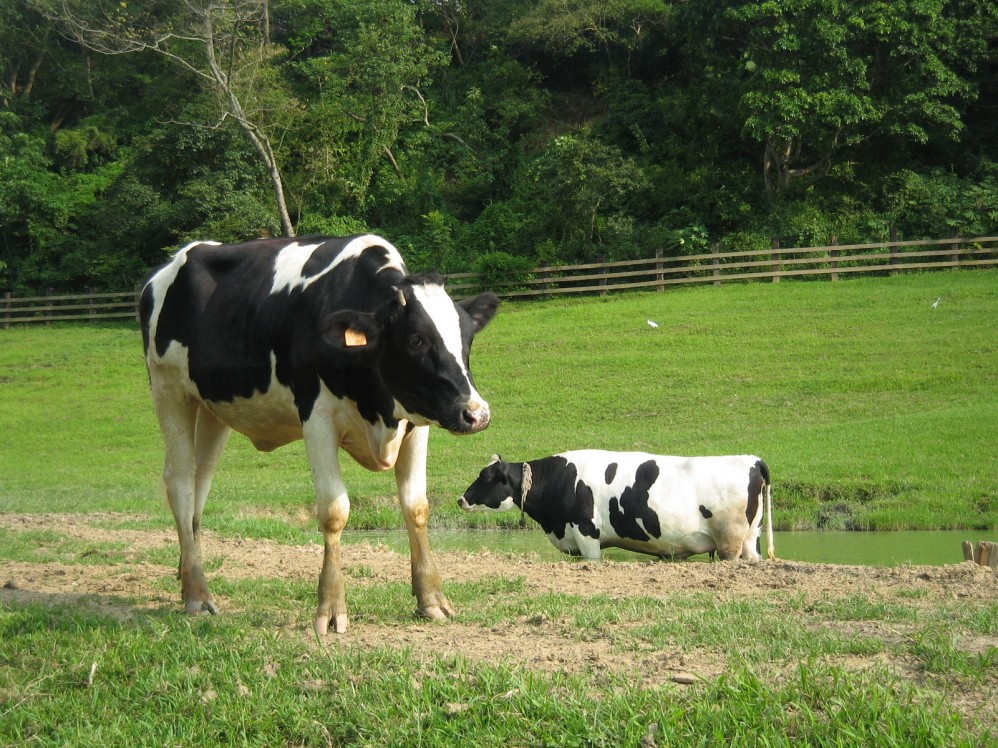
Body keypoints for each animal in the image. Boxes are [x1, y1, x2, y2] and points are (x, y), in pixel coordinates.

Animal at [141, 234, 500, 632]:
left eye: (467, 338)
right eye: (416, 340)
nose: (476, 413)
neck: (378, 410)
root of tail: (178, 258)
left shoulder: (417, 419)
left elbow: (416, 506)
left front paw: (431, 598)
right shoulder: (317, 417)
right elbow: (334, 510)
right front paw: (330, 608)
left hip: (212, 407)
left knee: (199, 485)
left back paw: (188, 575)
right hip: (168, 389)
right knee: (180, 483)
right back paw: (197, 595)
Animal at [458, 450, 776, 560]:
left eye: (486, 476)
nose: (461, 499)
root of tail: (752, 459)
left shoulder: (586, 533)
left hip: (729, 541)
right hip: (751, 538)